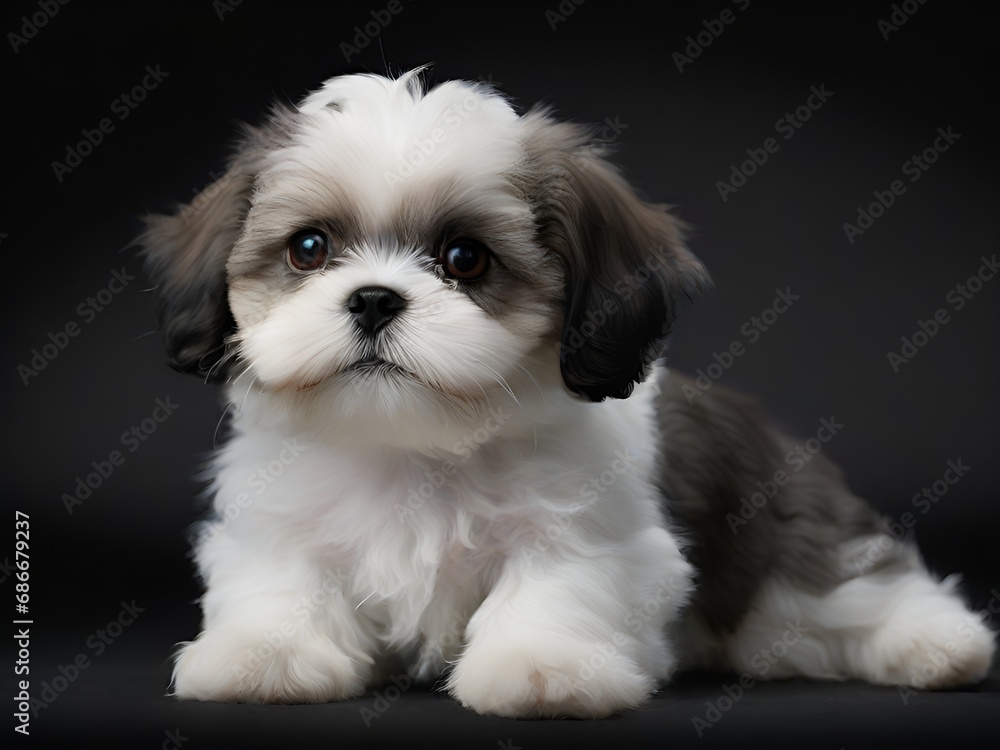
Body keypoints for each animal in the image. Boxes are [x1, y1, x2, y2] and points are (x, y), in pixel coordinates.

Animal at [145, 70, 996, 724]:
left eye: (465, 258)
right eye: (309, 248)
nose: (375, 299)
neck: (416, 444)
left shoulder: (584, 531)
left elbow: (554, 587)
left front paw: (540, 669)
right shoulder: (279, 521)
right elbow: (285, 581)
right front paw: (266, 655)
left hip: (783, 535)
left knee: (852, 587)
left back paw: (943, 646)